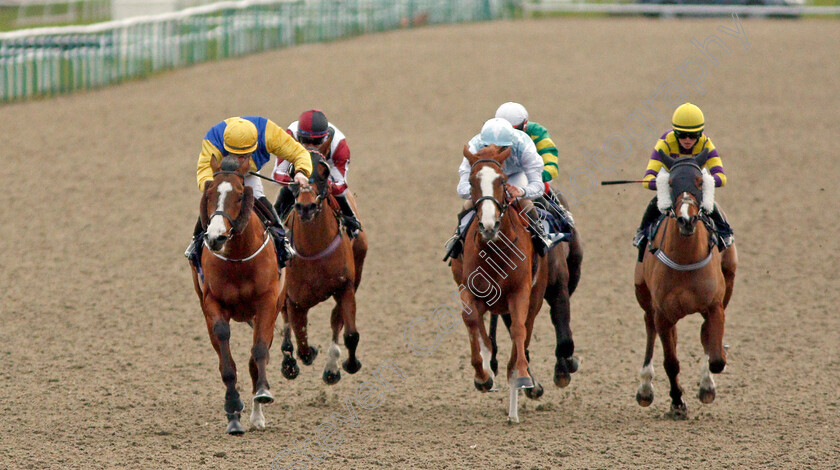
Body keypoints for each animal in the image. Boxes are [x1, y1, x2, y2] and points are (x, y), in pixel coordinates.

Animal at [190, 156, 282, 436]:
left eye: (241, 195)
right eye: (209, 193)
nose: (216, 237)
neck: (238, 260)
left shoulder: (267, 302)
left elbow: (259, 351)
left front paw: (262, 393)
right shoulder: (212, 303)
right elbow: (226, 360)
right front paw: (232, 407)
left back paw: (257, 415)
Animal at [278, 151, 366, 386]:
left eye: (324, 172)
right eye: (293, 171)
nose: (306, 206)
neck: (314, 249)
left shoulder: (345, 288)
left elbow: (350, 334)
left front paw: (348, 365)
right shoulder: (295, 301)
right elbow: (302, 343)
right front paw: (298, 358)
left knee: (336, 321)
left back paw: (331, 368)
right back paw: (289, 363)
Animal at [450, 144, 548, 422]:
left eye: (503, 181)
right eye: (472, 182)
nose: (488, 225)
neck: (494, 249)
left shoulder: (520, 292)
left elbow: (518, 331)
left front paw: (522, 376)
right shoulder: (469, 289)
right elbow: (472, 322)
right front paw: (482, 375)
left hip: (535, 299)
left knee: (522, 334)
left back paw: (514, 406)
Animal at [632, 151, 740, 418]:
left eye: (699, 182)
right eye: (671, 183)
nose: (686, 220)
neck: (685, 259)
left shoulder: (714, 306)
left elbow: (716, 358)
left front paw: (707, 384)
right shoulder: (662, 314)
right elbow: (671, 362)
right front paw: (677, 402)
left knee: (704, 334)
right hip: (644, 296)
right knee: (650, 330)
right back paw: (645, 388)